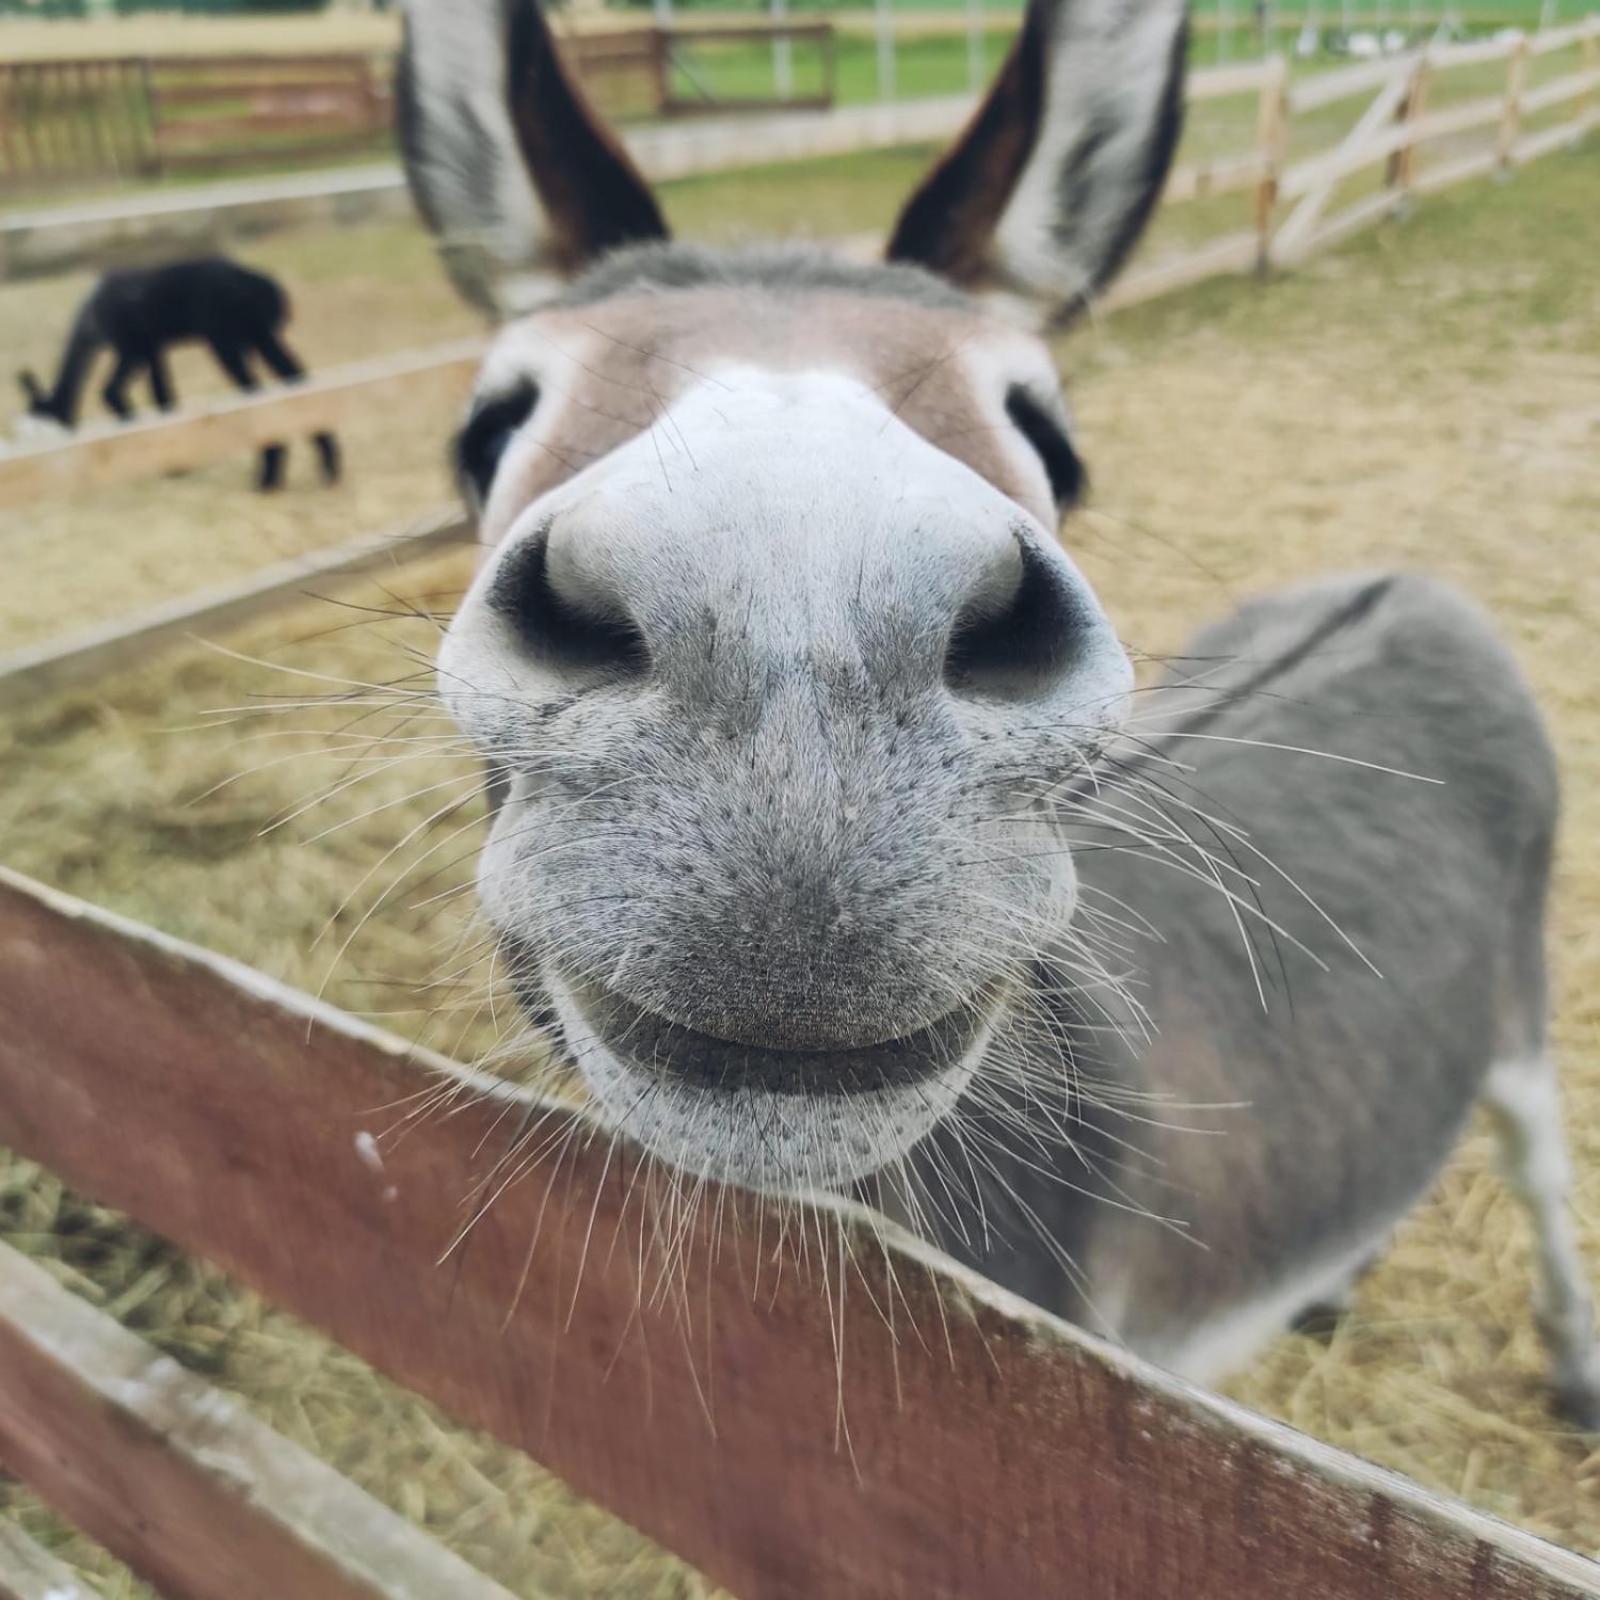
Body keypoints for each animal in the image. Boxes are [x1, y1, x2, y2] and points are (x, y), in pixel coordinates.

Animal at [14, 252, 340, 489]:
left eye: (43, 433)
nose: (39, 470)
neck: (92, 323)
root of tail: (267, 287)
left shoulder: (133, 346)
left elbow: (111, 392)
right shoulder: (153, 348)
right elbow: (163, 396)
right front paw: (174, 464)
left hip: (227, 337)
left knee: (256, 391)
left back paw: (268, 478)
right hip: (258, 335)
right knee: (294, 377)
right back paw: (327, 467)